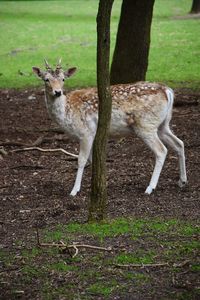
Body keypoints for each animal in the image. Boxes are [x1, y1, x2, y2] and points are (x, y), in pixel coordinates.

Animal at [32, 59, 187, 196]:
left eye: (63, 79)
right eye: (46, 79)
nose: (58, 92)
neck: (67, 112)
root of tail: (168, 91)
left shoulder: (86, 132)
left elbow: (81, 160)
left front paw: (74, 190)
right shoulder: (93, 134)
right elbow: (92, 160)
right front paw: (98, 185)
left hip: (146, 125)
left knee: (161, 150)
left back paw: (150, 188)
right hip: (163, 124)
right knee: (179, 143)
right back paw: (182, 181)